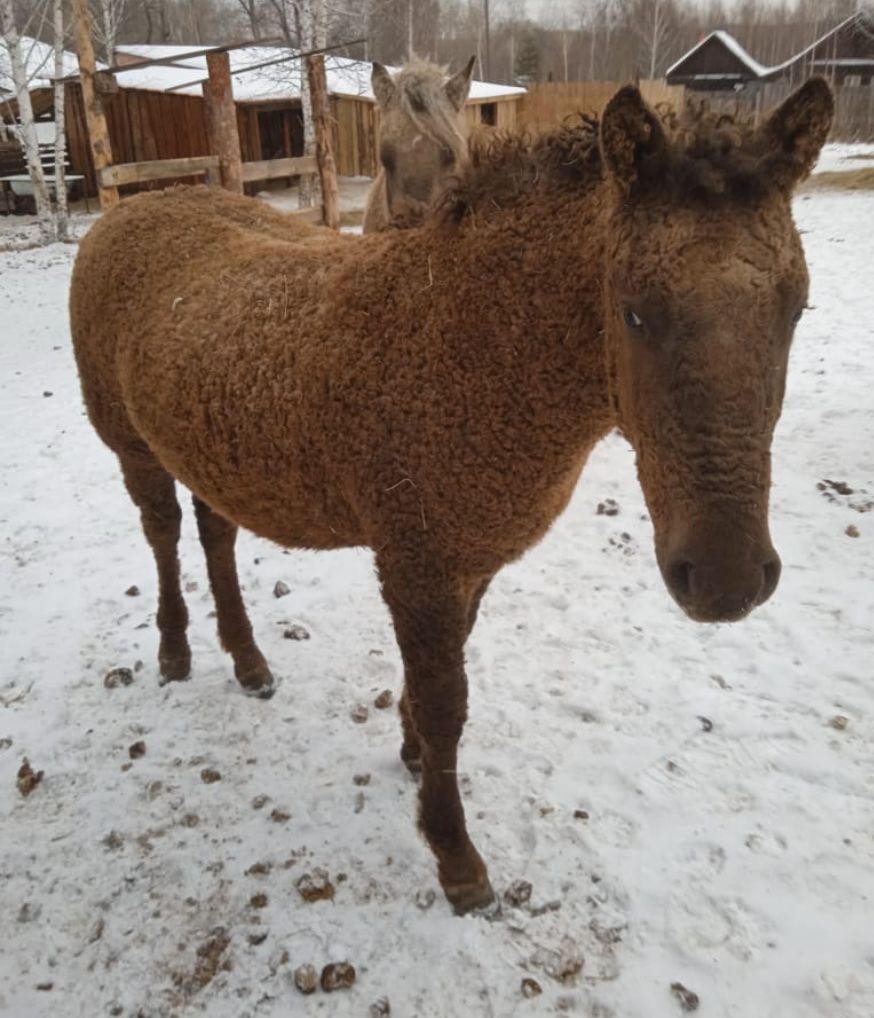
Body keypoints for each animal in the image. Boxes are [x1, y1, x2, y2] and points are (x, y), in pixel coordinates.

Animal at [69, 79, 833, 914]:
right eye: (634, 310)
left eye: (796, 309)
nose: (727, 580)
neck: (470, 341)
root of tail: (130, 210)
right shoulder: (419, 565)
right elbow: (447, 703)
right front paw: (456, 856)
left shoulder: (468, 562)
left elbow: (438, 684)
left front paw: (409, 750)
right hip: (133, 446)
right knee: (164, 533)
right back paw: (174, 652)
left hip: (210, 448)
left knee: (216, 536)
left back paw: (248, 661)